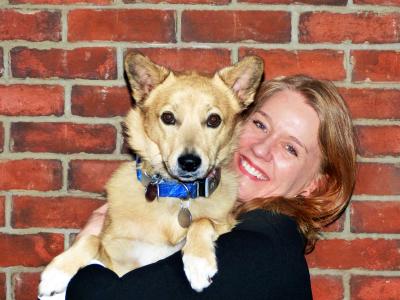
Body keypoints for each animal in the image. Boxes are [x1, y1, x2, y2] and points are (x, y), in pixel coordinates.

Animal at [37, 52, 262, 298]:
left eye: (214, 120)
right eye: (168, 117)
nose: (189, 162)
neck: (176, 194)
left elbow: (202, 221)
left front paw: (198, 261)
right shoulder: (115, 262)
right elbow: (92, 239)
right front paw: (56, 272)